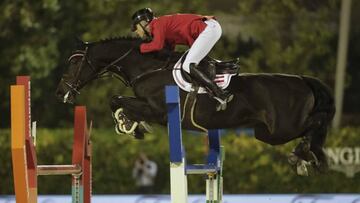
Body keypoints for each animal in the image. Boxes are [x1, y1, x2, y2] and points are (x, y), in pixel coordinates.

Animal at [55, 36, 334, 174]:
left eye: (74, 62)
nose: (60, 93)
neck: (148, 67)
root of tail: (302, 79)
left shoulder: (158, 111)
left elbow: (117, 100)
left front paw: (129, 124)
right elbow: (118, 101)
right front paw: (132, 125)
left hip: (281, 128)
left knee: (317, 123)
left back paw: (307, 154)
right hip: (265, 132)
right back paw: (308, 157)